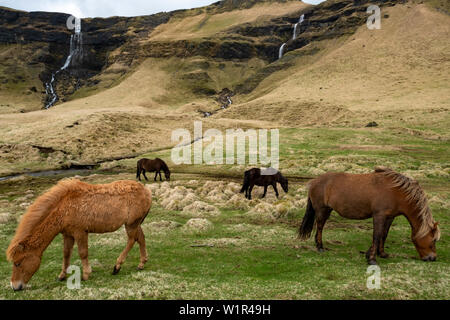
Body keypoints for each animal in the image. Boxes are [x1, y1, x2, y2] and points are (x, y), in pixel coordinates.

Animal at [5, 179, 153, 292]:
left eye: (18, 263)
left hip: (131, 224)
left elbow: (83, 253)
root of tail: (146, 191)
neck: (64, 207)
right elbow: (66, 254)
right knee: (141, 238)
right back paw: (142, 263)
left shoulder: (80, 232)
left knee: (132, 240)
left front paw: (86, 275)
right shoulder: (68, 235)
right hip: (135, 224)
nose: (15, 286)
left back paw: (117, 266)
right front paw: (62, 275)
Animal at [298, 168, 442, 264]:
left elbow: (383, 234)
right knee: (320, 226)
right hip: (321, 210)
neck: (396, 191)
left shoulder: (389, 217)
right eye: (433, 240)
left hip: (327, 210)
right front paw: (372, 259)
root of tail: (314, 181)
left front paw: (380, 253)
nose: (432, 258)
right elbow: (377, 235)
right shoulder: (379, 215)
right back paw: (320, 247)